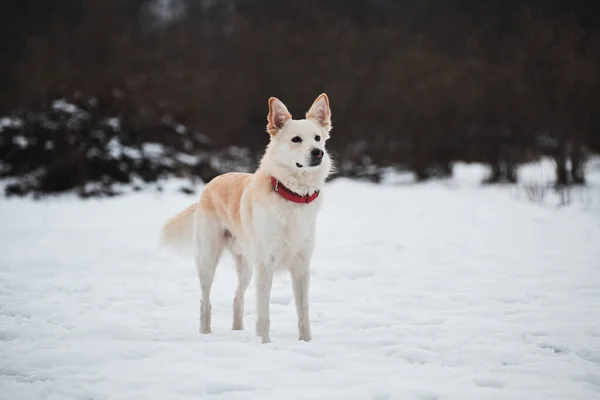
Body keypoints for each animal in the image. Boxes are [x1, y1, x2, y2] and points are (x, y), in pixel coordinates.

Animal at [162, 94, 336, 344]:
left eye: (318, 139)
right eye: (296, 139)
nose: (318, 152)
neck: (292, 195)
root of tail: (210, 184)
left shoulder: (302, 265)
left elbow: (303, 312)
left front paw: (306, 343)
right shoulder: (265, 264)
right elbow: (264, 314)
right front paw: (264, 345)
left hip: (246, 267)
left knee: (237, 298)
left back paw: (237, 331)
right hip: (208, 261)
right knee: (205, 301)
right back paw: (205, 334)